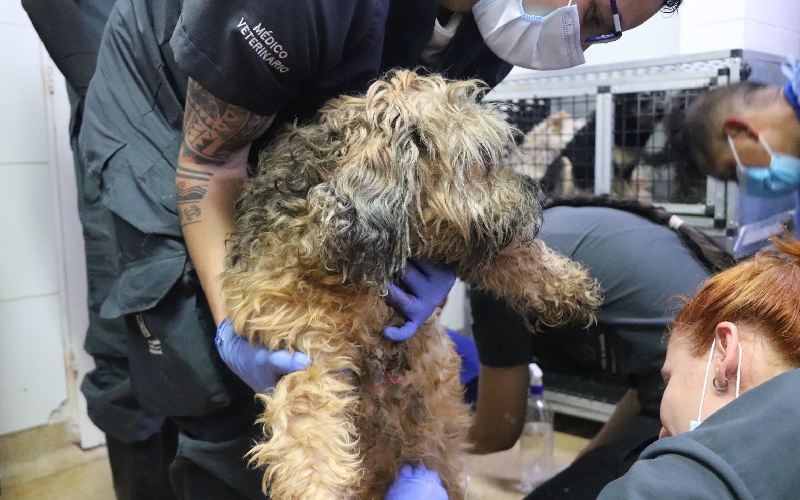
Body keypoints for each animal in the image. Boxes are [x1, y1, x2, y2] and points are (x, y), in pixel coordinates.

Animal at [221, 70, 602, 500]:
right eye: (485, 158)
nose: (539, 194)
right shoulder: (303, 346)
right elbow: (307, 429)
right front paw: (317, 487)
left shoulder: (459, 240)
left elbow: (513, 256)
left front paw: (569, 287)